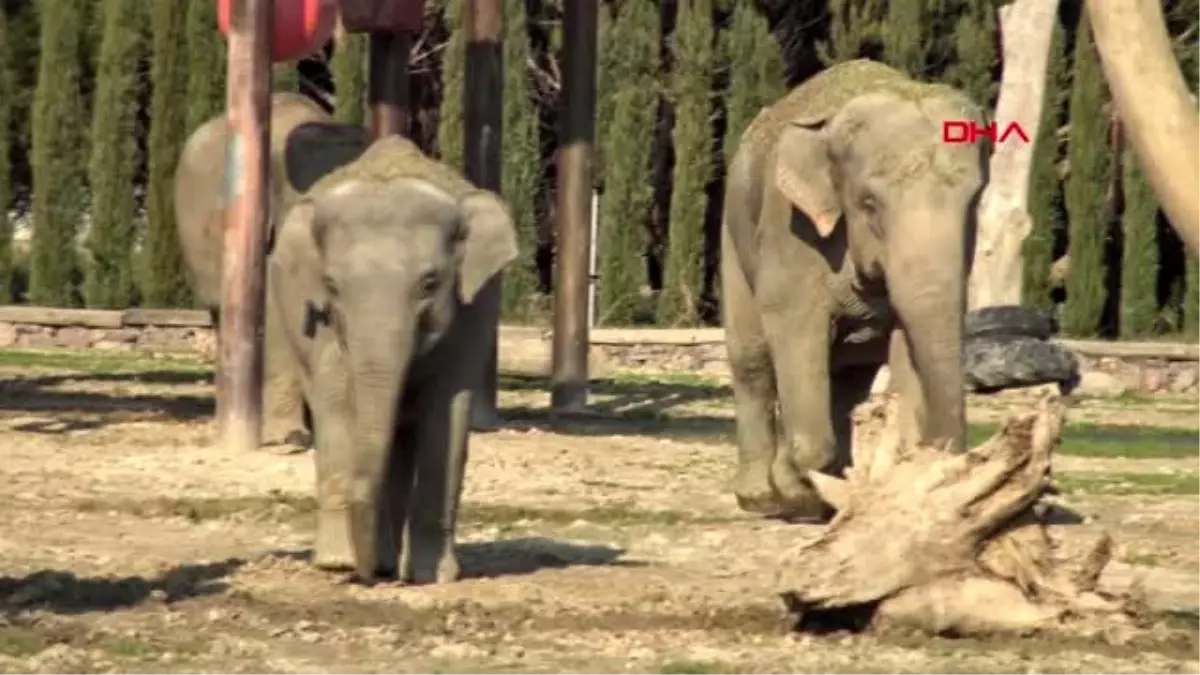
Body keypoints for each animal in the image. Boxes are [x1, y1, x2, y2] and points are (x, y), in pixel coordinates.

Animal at [267, 133, 516, 581]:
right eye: (331, 285)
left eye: (430, 283)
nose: (365, 574)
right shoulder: (314, 314)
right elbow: (335, 399)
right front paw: (338, 563)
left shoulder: (476, 307)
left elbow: (449, 407)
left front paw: (433, 576)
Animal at [715, 59, 988, 521]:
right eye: (869, 204)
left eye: (974, 203)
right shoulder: (791, 232)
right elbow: (795, 329)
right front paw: (799, 494)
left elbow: (905, 342)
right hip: (734, 236)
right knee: (752, 359)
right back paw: (760, 498)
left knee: (847, 376)